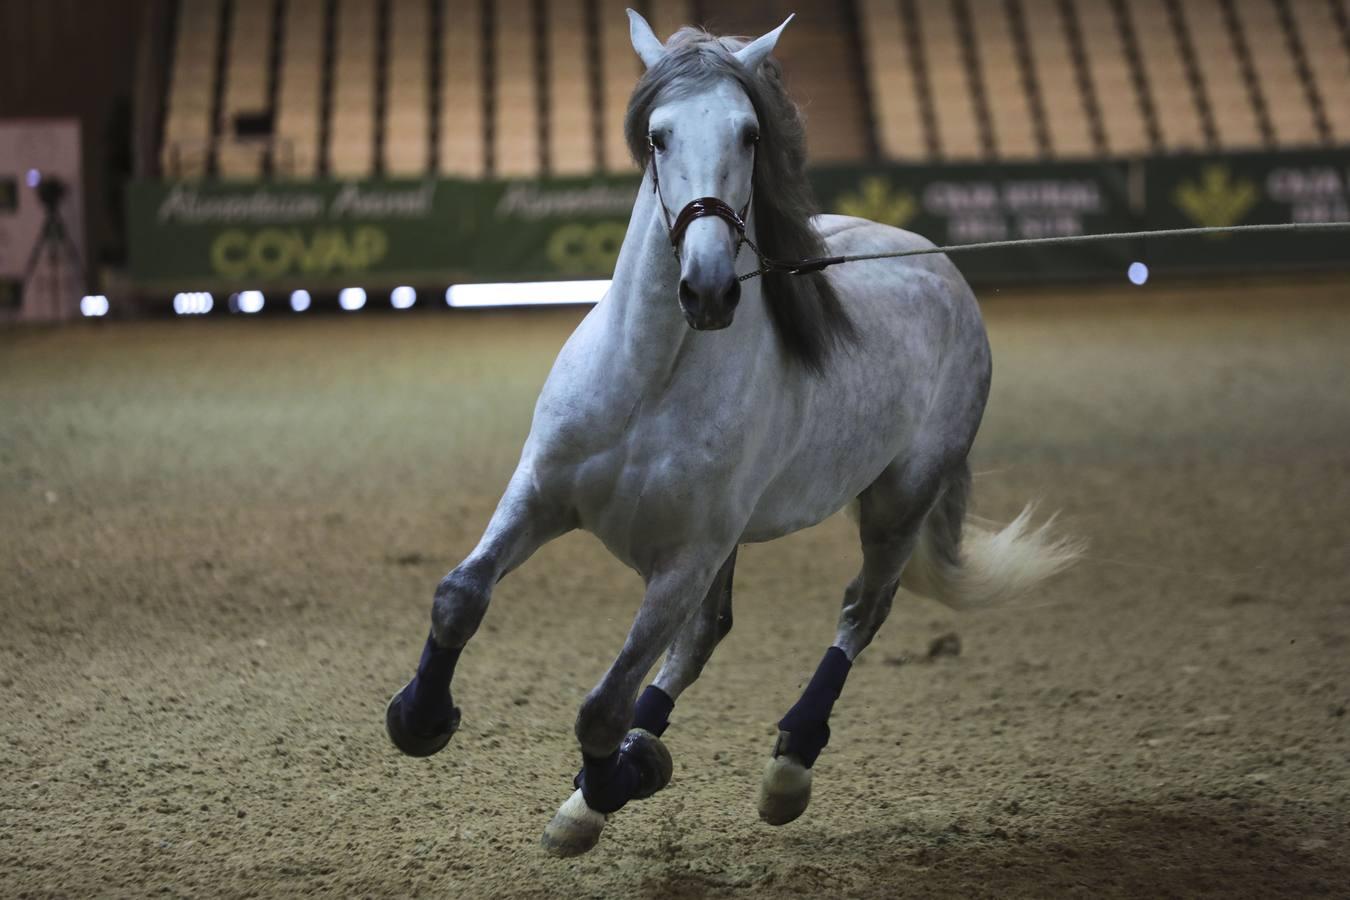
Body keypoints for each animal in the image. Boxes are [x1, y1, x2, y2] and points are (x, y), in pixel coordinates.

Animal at [383, 12, 1074, 858]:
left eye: (749, 134)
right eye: (658, 136)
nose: (707, 288)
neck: (648, 383)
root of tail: (942, 267)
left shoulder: (685, 558)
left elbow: (603, 706)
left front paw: (621, 777)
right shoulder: (542, 493)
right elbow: (461, 596)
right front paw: (421, 720)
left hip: (897, 503)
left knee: (859, 613)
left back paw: (785, 770)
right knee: (708, 635)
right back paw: (604, 786)